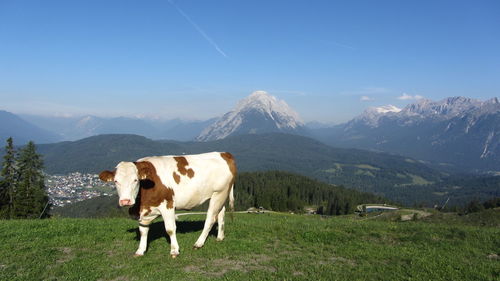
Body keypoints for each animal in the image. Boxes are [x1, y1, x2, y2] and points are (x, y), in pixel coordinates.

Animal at [100, 152, 238, 258]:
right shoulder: (144, 212)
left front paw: (174, 250)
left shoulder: (168, 205)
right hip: (220, 195)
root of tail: (223, 153)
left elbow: (170, 229)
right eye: (116, 181)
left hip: (219, 193)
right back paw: (220, 237)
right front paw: (140, 250)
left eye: (135, 180)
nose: (125, 201)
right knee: (221, 214)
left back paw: (198, 243)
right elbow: (143, 230)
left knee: (210, 219)